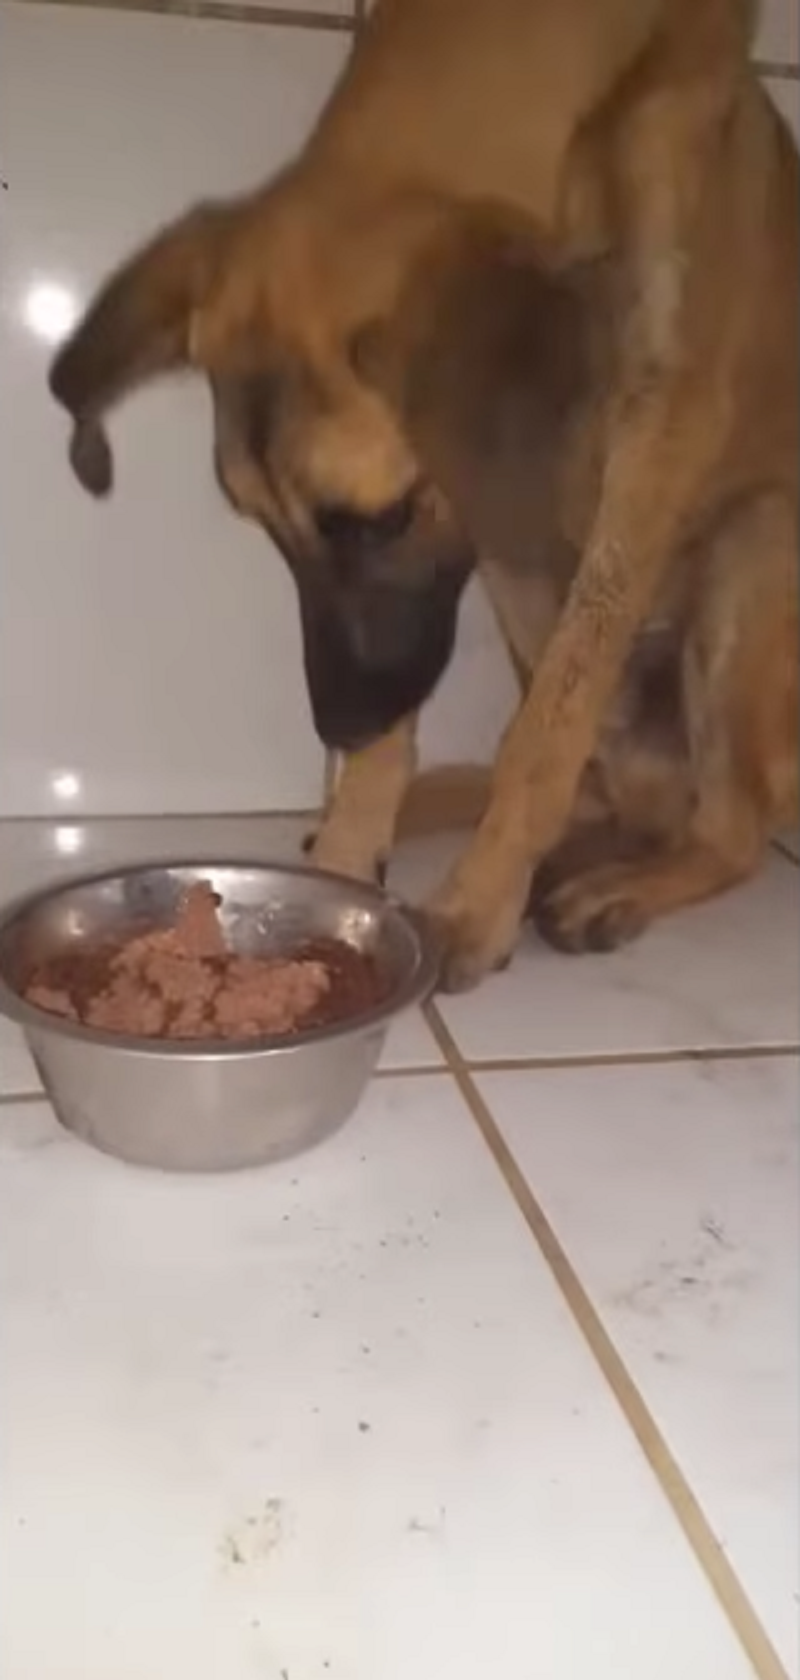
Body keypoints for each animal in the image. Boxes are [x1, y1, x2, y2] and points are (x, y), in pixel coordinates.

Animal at [48, 0, 798, 991]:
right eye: (262, 527)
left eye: (382, 520)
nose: (337, 721)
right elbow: (530, 719)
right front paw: (355, 844)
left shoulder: (662, 427)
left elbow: (552, 719)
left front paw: (477, 901)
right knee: (635, 790)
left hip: (753, 545)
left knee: (732, 825)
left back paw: (615, 883)